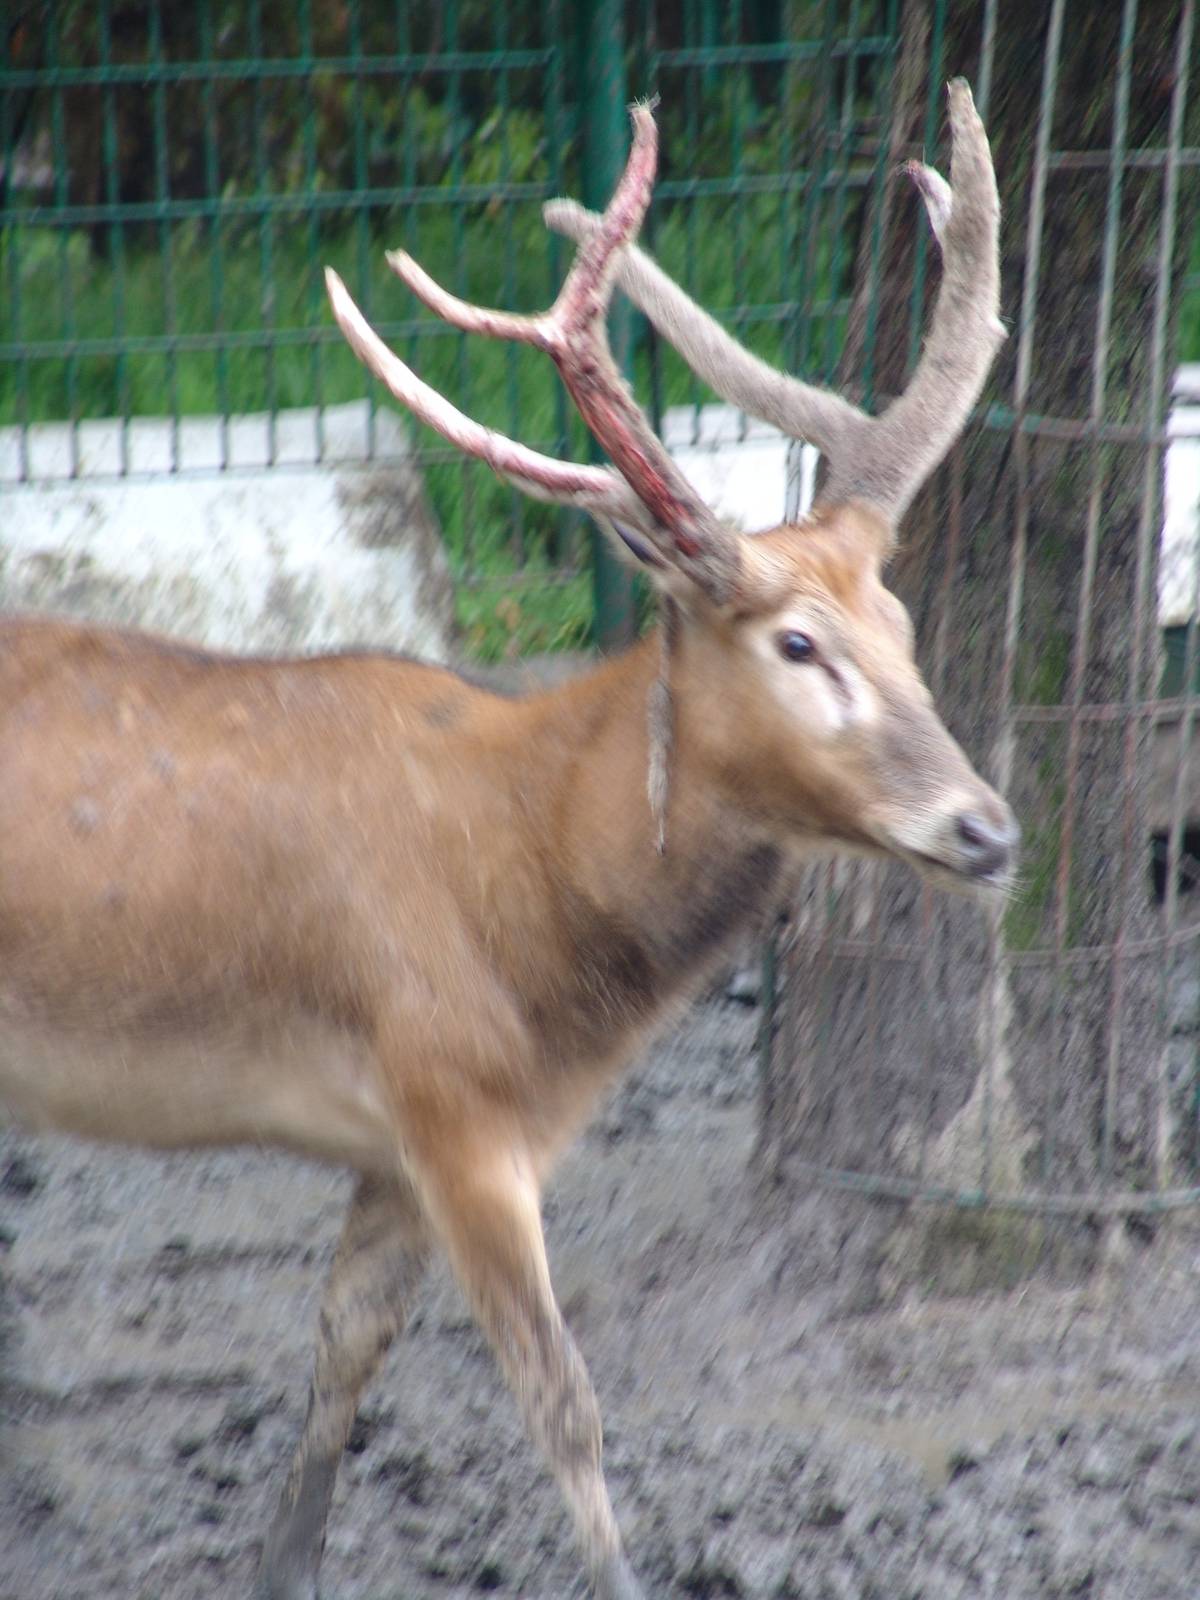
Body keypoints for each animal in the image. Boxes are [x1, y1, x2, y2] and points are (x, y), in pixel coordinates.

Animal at [0, 83, 1013, 1600]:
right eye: (798, 643)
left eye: (900, 626)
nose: (986, 825)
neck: (544, 939)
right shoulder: (456, 1097)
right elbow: (564, 1406)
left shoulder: (398, 1136)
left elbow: (343, 1353)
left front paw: (282, 1565)